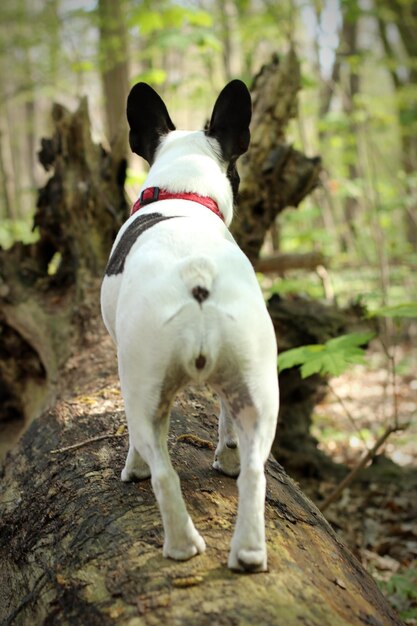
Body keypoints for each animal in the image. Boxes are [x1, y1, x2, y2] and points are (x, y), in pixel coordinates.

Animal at [99, 79, 278, 572]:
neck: (183, 193)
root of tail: (197, 274)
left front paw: (132, 468)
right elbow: (227, 426)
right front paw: (226, 458)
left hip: (142, 388)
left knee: (162, 471)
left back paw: (180, 543)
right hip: (257, 383)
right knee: (255, 471)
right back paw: (249, 551)